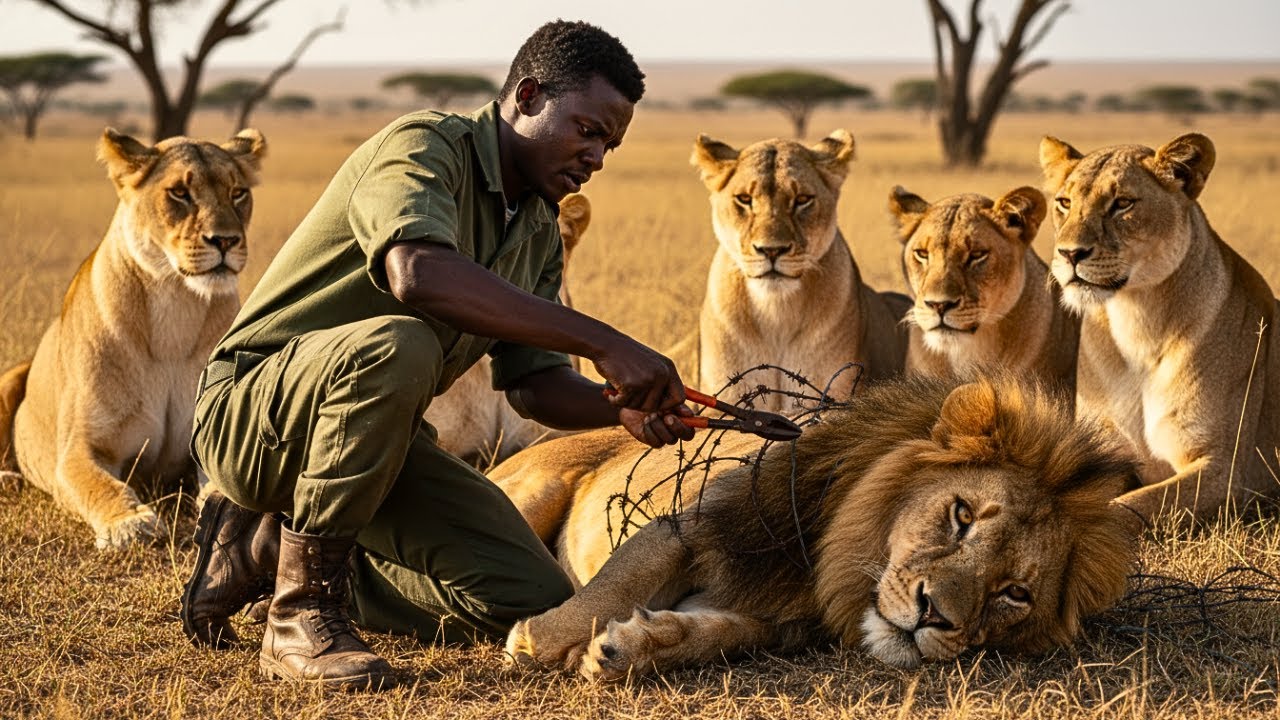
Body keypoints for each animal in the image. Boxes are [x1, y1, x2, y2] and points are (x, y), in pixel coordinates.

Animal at [0, 127, 266, 549]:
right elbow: (98, 485)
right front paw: (129, 522)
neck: (176, 307)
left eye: (238, 192)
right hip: (10, 378)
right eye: (179, 193)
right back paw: (9, 478)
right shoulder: (78, 448)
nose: (225, 241)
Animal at [495, 374, 1141, 679]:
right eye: (962, 516)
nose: (934, 615)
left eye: (1015, 594)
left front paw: (631, 647)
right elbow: (619, 582)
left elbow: (724, 634)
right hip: (531, 491)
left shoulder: (778, 617)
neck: (830, 567)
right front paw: (536, 640)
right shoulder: (694, 526)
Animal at [1041, 133, 1280, 523]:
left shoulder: (1224, 471)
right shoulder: (1107, 454)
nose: (1069, 254)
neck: (1137, 323)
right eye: (1064, 202)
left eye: (1122, 204)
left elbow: (1131, 506)